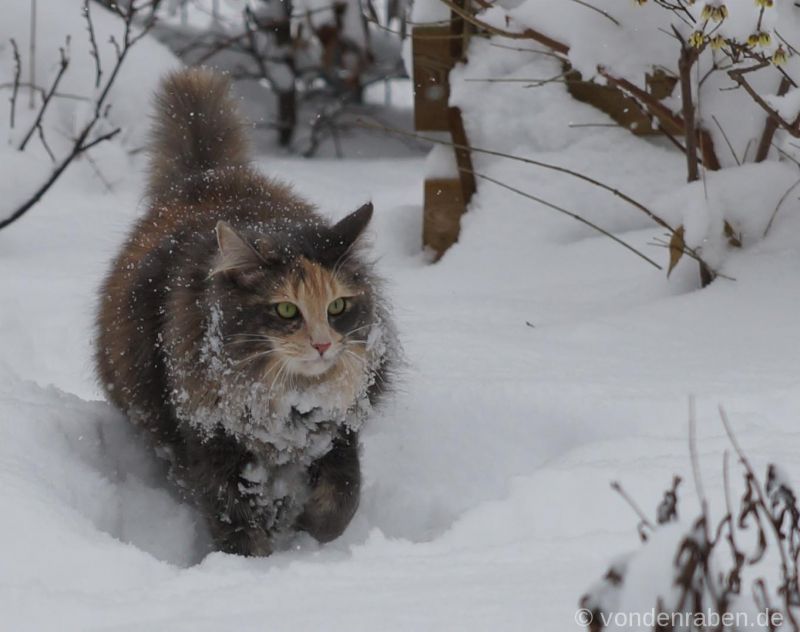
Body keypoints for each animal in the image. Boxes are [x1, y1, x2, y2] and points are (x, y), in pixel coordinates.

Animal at [95, 66, 396, 556]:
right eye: (286, 310)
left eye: (337, 306)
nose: (322, 344)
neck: (289, 403)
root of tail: (209, 175)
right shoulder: (211, 440)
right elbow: (236, 519)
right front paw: (254, 563)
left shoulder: (337, 429)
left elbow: (343, 494)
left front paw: (313, 531)